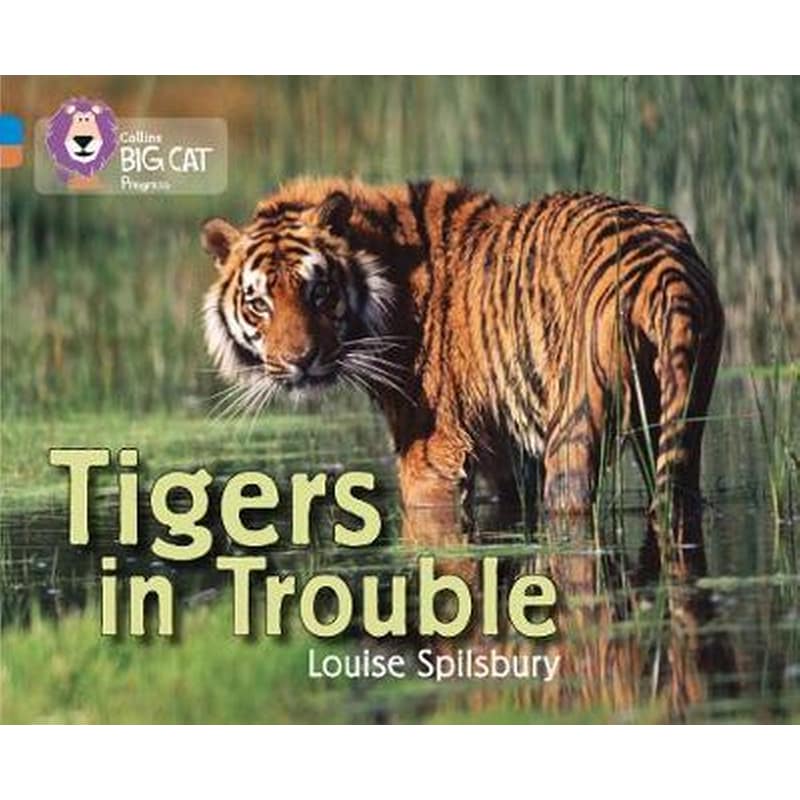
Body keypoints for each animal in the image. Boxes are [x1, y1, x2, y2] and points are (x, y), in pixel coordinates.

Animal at [201, 177, 724, 525]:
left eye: (319, 291)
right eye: (260, 303)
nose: (301, 360)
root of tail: (661, 265)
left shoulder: (432, 449)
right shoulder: (500, 450)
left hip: (575, 423)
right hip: (679, 410)